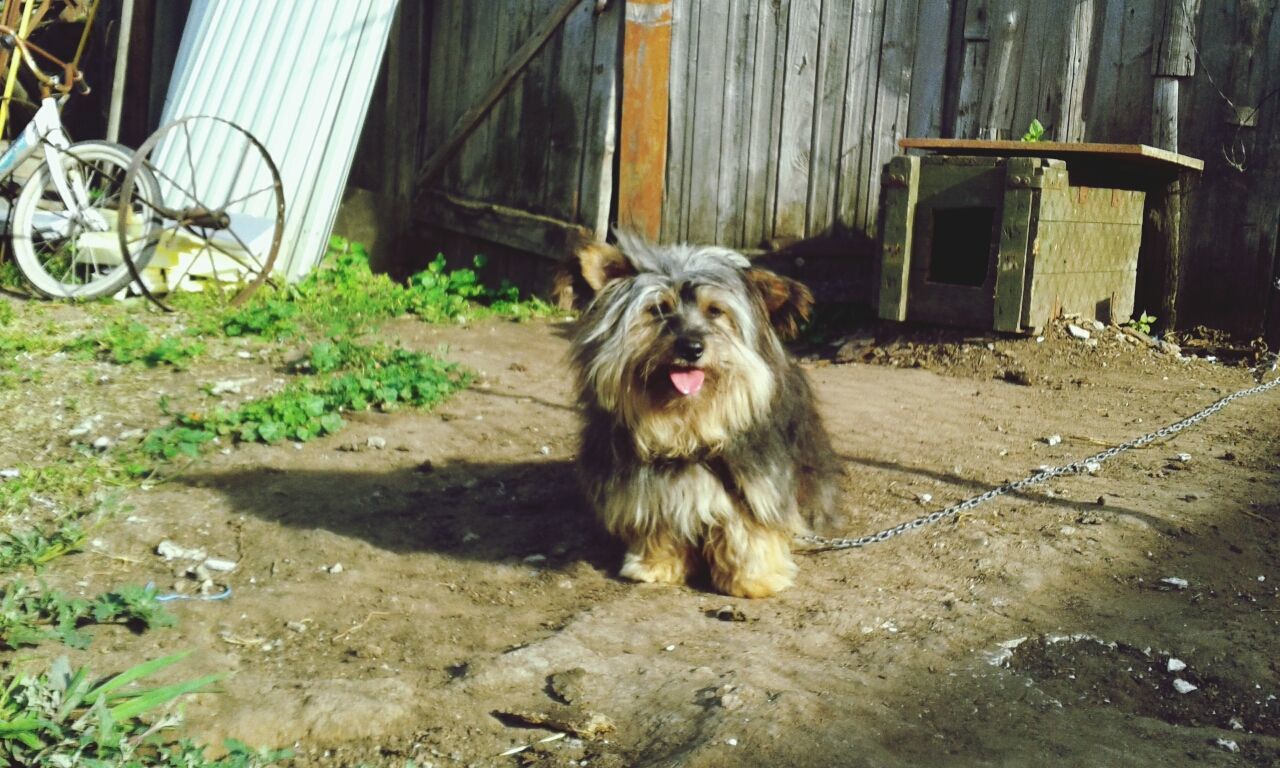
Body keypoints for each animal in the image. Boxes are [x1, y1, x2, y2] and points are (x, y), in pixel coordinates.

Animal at [560, 234, 839, 599]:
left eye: (716, 311)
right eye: (659, 309)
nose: (691, 347)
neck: (690, 431)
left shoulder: (755, 484)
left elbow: (749, 530)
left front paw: (755, 579)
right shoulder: (648, 488)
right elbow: (658, 521)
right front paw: (655, 566)